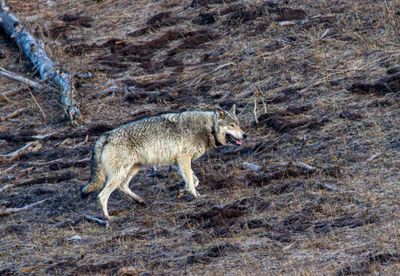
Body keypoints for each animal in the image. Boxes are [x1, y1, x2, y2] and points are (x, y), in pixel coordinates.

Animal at [81, 105, 247, 220]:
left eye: (238, 123)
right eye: (232, 125)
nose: (245, 135)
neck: (208, 128)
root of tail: (105, 136)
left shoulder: (178, 162)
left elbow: (194, 181)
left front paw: (182, 192)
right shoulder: (184, 159)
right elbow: (191, 182)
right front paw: (197, 197)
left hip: (133, 169)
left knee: (123, 186)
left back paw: (141, 201)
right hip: (121, 173)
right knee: (102, 196)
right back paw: (108, 218)